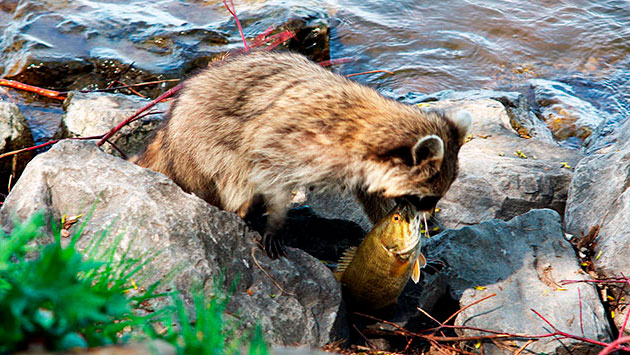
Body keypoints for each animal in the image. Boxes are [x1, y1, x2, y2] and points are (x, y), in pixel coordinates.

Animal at [136, 51, 472, 258]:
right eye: (427, 198)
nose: (430, 217)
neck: (369, 125)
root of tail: (168, 128)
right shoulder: (294, 138)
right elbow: (269, 171)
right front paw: (276, 221)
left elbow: (371, 195)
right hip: (203, 146)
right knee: (234, 175)